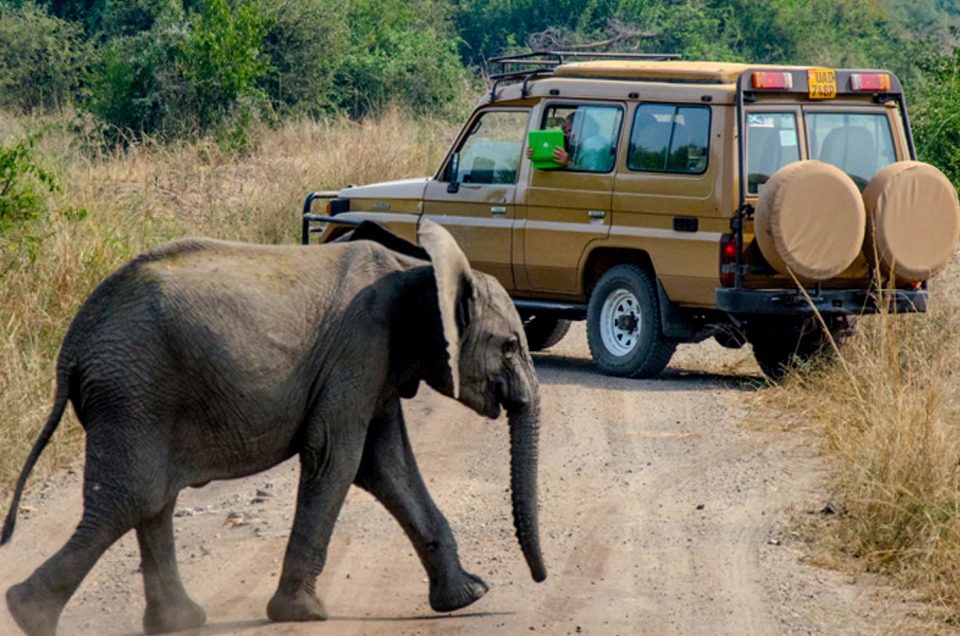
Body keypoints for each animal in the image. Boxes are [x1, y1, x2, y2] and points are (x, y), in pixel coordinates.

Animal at [0, 220, 544, 636]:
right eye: (510, 346)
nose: (539, 581)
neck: (418, 268)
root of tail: (74, 341)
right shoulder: (360, 348)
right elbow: (338, 456)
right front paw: (304, 615)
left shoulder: (380, 365)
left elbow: (387, 466)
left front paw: (469, 596)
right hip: (134, 391)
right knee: (133, 498)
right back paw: (28, 614)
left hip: (138, 395)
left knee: (152, 500)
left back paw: (177, 622)